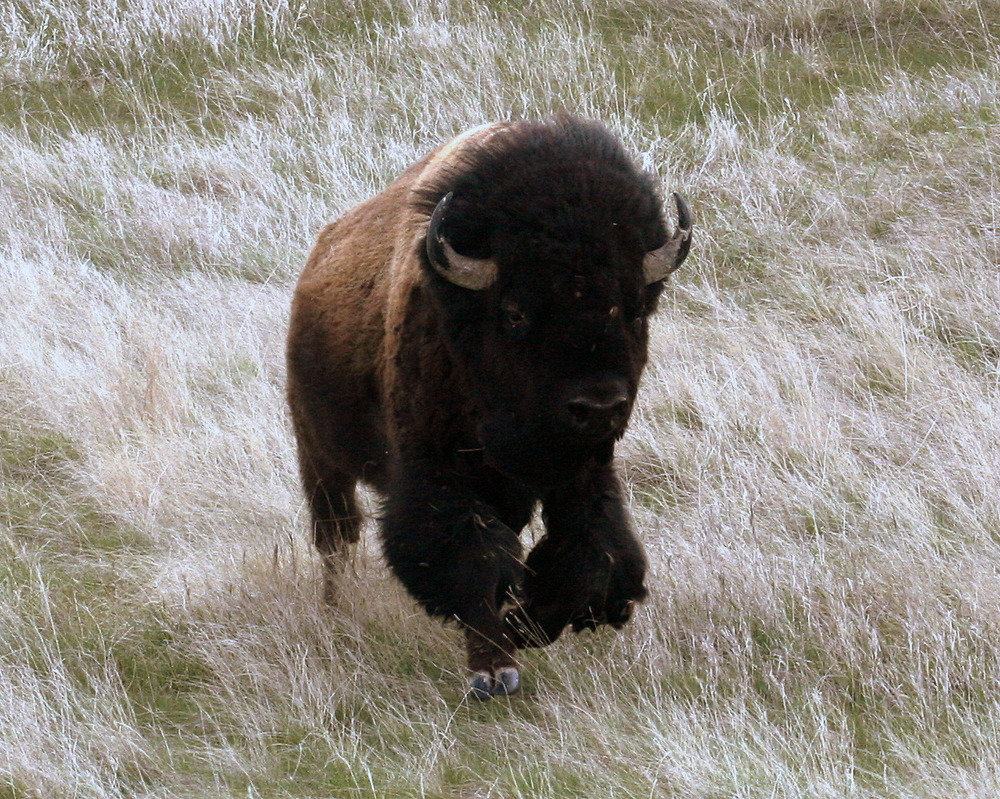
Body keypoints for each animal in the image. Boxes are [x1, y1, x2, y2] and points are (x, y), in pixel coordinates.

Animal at [286, 117, 691, 698]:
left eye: (632, 308)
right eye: (515, 312)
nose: (598, 405)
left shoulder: (583, 475)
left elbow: (593, 558)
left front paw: (524, 627)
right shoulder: (438, 476)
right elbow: (473, 561)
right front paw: (493, 671)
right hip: (319, 457)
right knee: (336, 540)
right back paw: (336, 614)